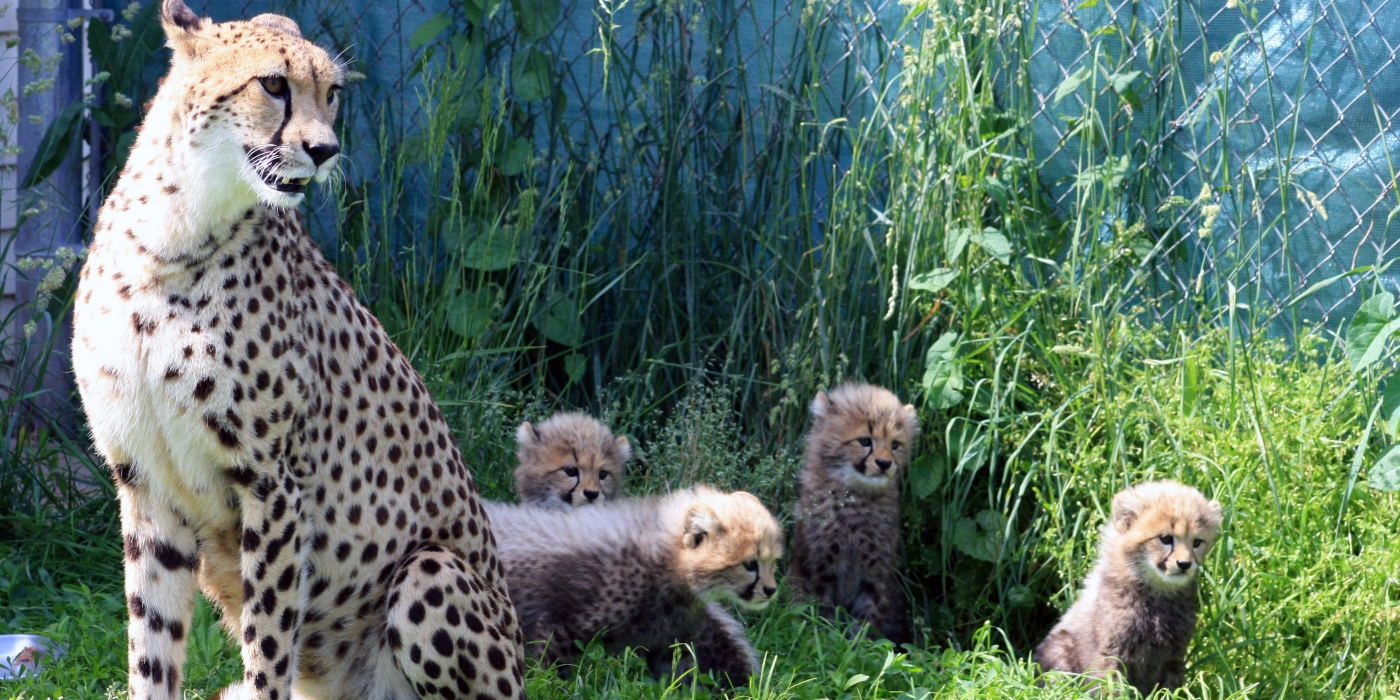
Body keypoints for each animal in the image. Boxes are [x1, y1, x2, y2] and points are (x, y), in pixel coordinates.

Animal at [68, 2, 526, 697]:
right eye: (273, 85)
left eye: (331, 93)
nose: (325, 149)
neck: (169, 240)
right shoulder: (146, 484)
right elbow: (152, 644)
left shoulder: (276, 484)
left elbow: (268, 644)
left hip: (431, 572)